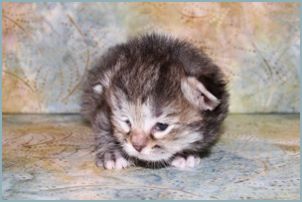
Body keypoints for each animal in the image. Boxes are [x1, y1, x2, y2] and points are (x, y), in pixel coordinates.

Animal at [81, 33, 229, 169]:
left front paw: (185, 154)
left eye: (161, 126)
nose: (137, 146)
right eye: (127, 122)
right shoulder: (102, 106)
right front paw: (113, 154)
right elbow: (103, 127)